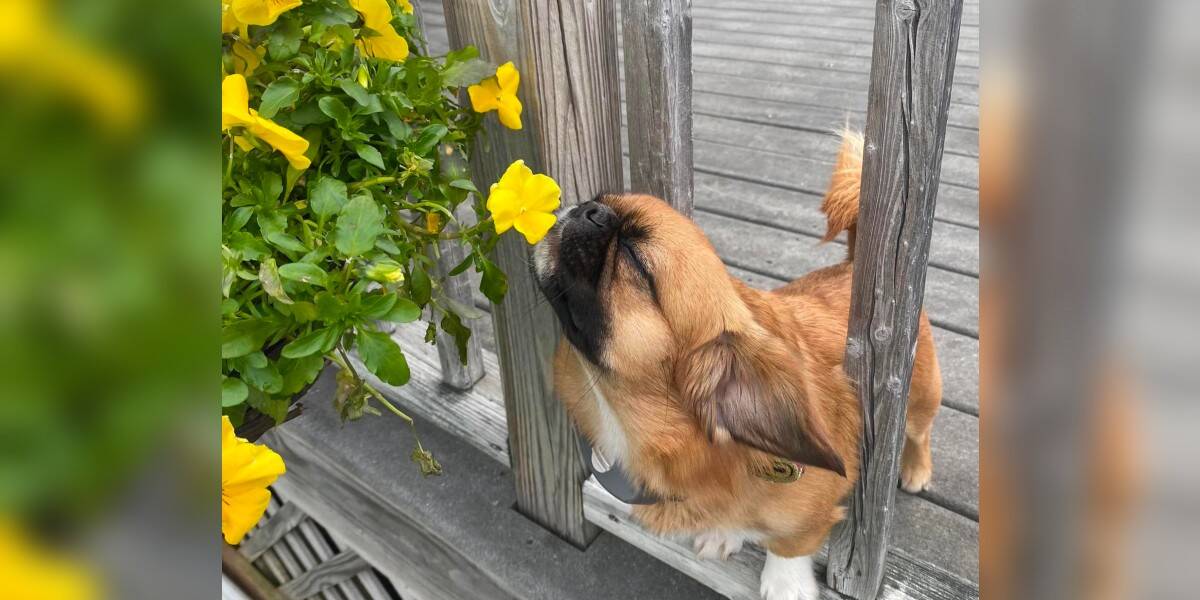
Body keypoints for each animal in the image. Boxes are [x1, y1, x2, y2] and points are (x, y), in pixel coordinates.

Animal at [532, 133, 936, 597]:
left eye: (633, 257)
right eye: (597, 200)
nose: (588, 209)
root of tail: (852, 263)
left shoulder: (813, 510)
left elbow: (790, 542)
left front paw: (785, 582)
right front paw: (727, 533)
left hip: (918, 404)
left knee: (920, 435)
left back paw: (916, 470)